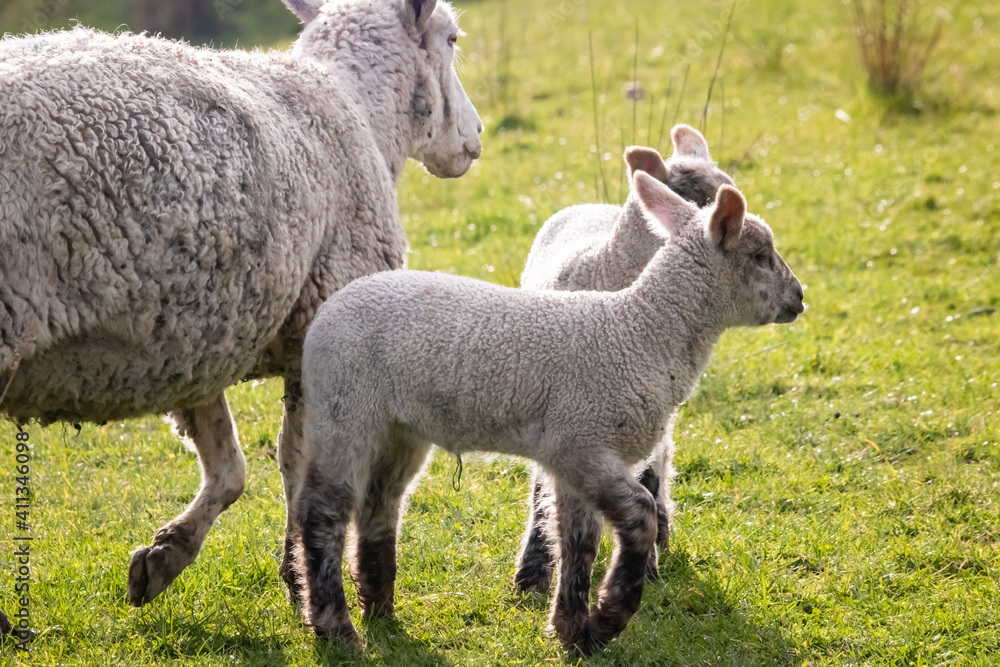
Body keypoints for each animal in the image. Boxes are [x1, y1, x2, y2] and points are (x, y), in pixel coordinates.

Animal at [0, 0, 484, 620]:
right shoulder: (316, 332)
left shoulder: (194, 339)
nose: (478, 134)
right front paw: (303, 579)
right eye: (452, 39)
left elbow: (229, 467)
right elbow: (297, 465)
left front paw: (164, 557)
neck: (356, 109)